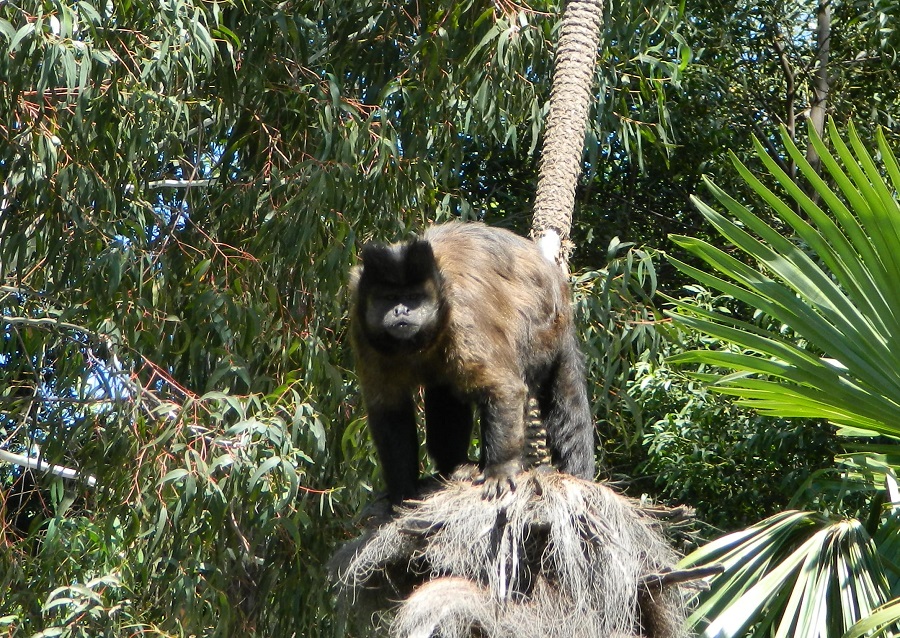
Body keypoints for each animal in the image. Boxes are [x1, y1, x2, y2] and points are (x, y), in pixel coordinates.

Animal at [348, 221, 596, 504]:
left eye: (412, 297)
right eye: (389, 298)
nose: (401, 310)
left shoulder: (463, 317)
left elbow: (504, 389)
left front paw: (500, 470)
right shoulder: (363, 330)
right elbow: (389, 410)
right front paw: (402, 491)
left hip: (544, 326)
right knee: (445, 390)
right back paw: (454, 466)